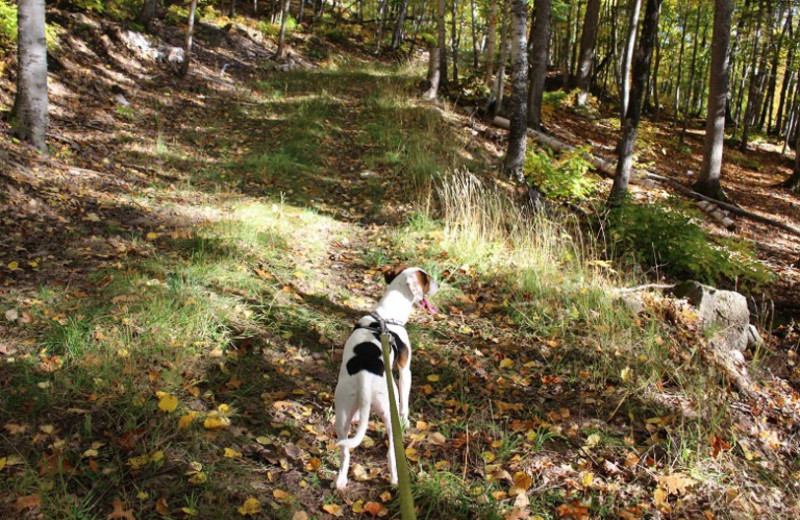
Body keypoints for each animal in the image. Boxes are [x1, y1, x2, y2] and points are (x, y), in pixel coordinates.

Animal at [334, 266, 440, 490]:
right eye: (427, 279)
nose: (439, 285)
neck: (386, 316)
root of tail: (365, 378)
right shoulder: (405, 371)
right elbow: (405, 403)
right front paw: (406, 421)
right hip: (389, 414)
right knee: (392, 453)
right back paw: (395, 479)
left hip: (341, 415)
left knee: (345, 452)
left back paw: (340, 480)